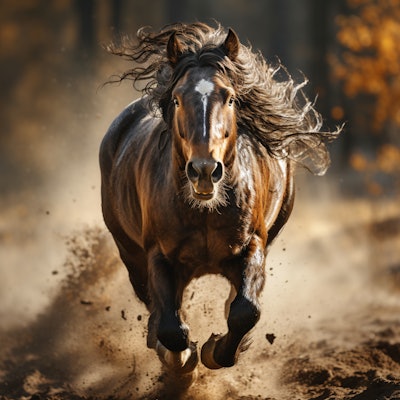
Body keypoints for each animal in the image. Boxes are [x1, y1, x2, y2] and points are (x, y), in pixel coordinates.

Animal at [100, 22, 340, 382]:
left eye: (230, 98)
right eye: (176, 99)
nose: (203, 171)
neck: (204, 213)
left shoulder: (253, 243)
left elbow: (245, 310)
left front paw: (216, 350)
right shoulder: (158, 254)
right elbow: (170, 327)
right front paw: (184, 357)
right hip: (130, 253)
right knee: (156, 309)